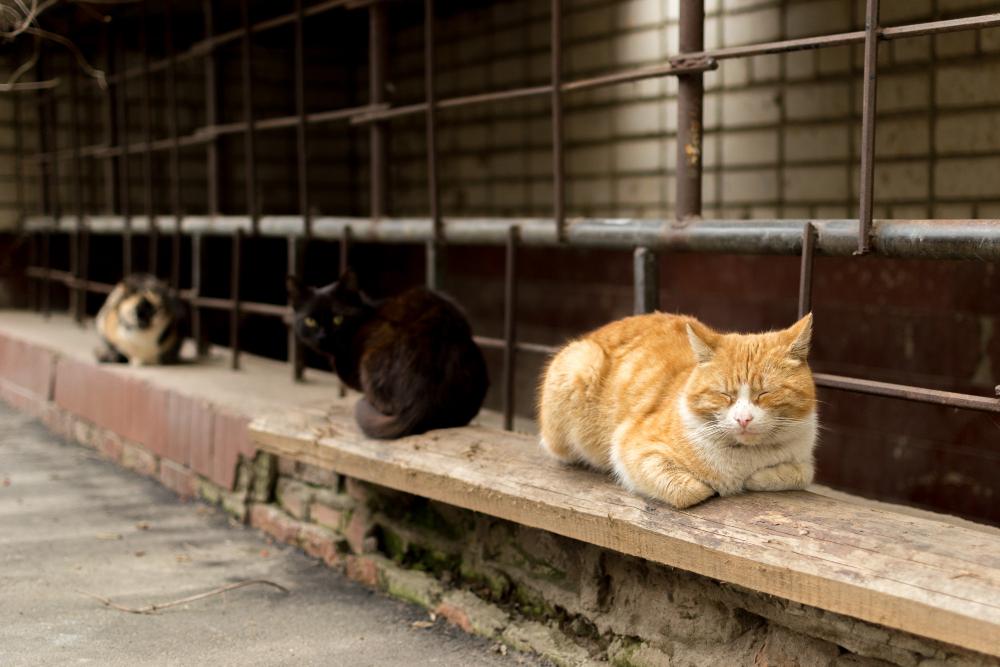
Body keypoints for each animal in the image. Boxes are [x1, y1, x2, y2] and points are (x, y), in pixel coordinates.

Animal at [540, 312, 812, 506]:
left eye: (764, 393)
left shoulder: (803, 459)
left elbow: (802, 474)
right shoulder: (630, 447)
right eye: (724, 394)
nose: (743, 419)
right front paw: (713, 487)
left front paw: (759, 477)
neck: (745, 457)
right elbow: (689, 490)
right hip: (580, 365)